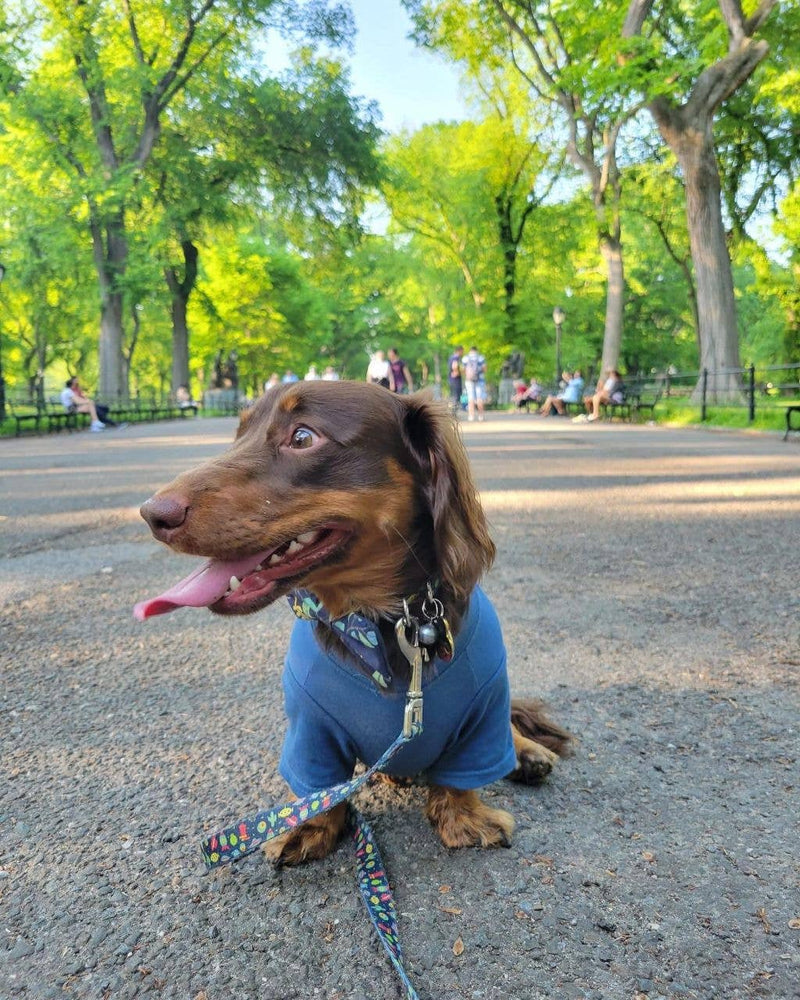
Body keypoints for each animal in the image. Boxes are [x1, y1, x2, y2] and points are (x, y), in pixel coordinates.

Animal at [138, 378, 572, 864]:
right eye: (239, 434)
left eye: (303, 437)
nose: (153, 514)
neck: (386, 623)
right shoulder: (311, 731)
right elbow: (318, 787)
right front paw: (306, 826)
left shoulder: (484, 711)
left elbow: (463, 775)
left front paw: (465, 818)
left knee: (508, 731)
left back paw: (527, 754)